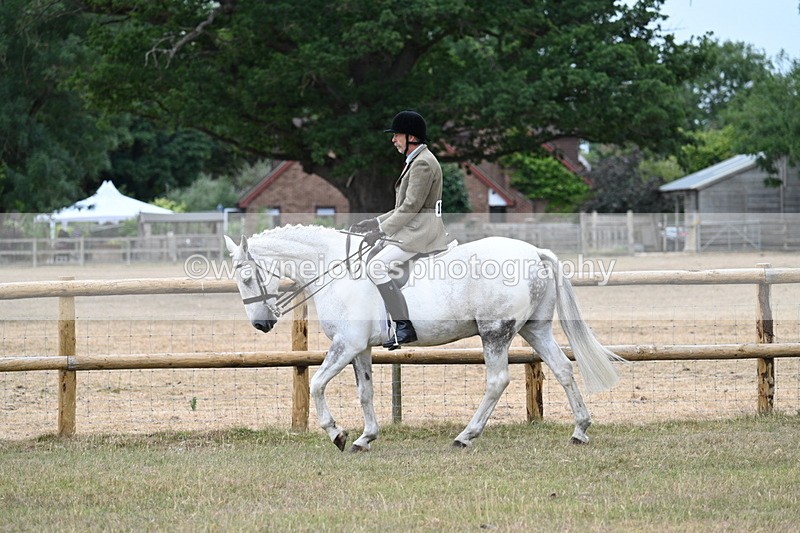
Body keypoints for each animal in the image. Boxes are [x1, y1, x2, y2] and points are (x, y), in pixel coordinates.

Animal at [224, 225, 623, 451]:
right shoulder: (360, 348)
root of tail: (534, 252)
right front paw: (365, 438)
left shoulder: (346, 345)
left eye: (246, 276)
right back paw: (580, 430)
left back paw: (466, 436)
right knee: (563, 369)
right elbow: (365, 392)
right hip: (534, 330)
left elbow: (318, 384)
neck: (335, 268)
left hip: (495, 332)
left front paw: (336, 434)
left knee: (497, 381)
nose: (261, 324)